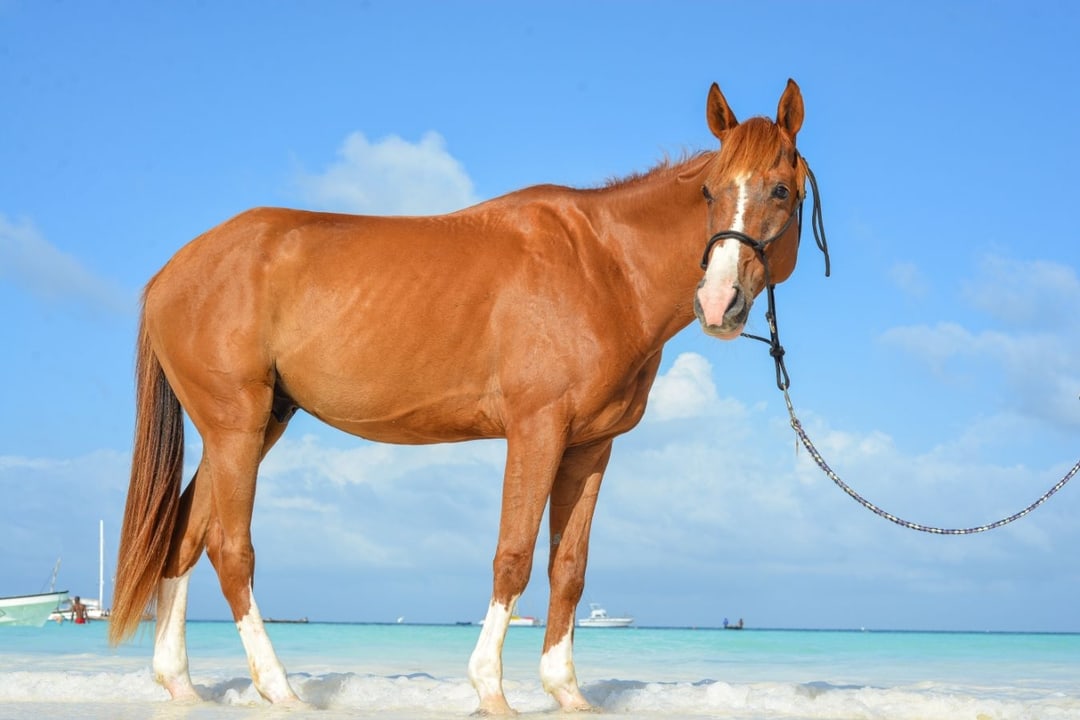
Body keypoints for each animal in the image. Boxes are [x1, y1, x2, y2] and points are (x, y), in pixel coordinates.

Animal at [109, 78, 813, 713]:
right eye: (709, 192)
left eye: (781, 190)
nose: (718, 303)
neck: (603, 266)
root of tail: (171, 273)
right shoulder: (536, 431)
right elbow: (514, 556)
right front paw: (490, 689)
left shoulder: (590, 447)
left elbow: (569, 567)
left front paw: (566, 691)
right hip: (237, 425)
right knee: (231, 550)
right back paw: (279, 688)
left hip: (252, 427)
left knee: (184, 537)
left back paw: (180, 682)